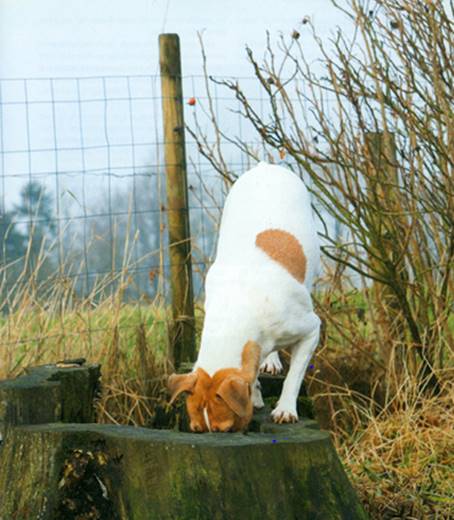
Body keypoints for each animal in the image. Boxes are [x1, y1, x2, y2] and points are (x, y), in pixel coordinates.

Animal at [168, 161, 320, 430]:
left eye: (227, 429)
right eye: (196, 430)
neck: (235, 308)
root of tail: (265, 166)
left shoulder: (311, 330)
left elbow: (294, 376)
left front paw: (285, 409)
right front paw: (256, 394)